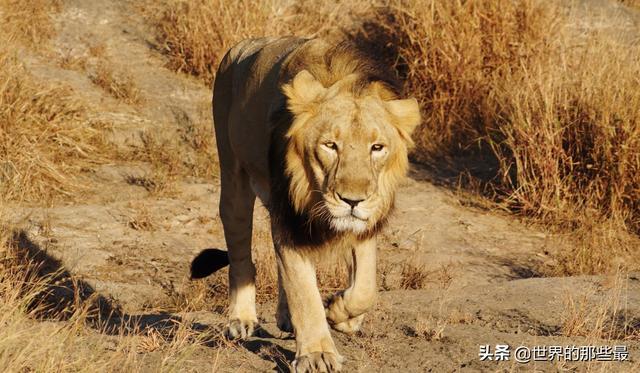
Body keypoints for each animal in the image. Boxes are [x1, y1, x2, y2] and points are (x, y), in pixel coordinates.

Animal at [196, 37, 424, 372]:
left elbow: (366, 287)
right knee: (240, 252)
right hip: (233, 175)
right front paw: (318, 353)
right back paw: (241, 319)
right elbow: (304, 292)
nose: (352, 200)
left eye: (377, 147)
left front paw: (341, 313)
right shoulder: (289, 216)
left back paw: (288, 319)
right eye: (330, 145)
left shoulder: (362, 224)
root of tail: (244, 45)